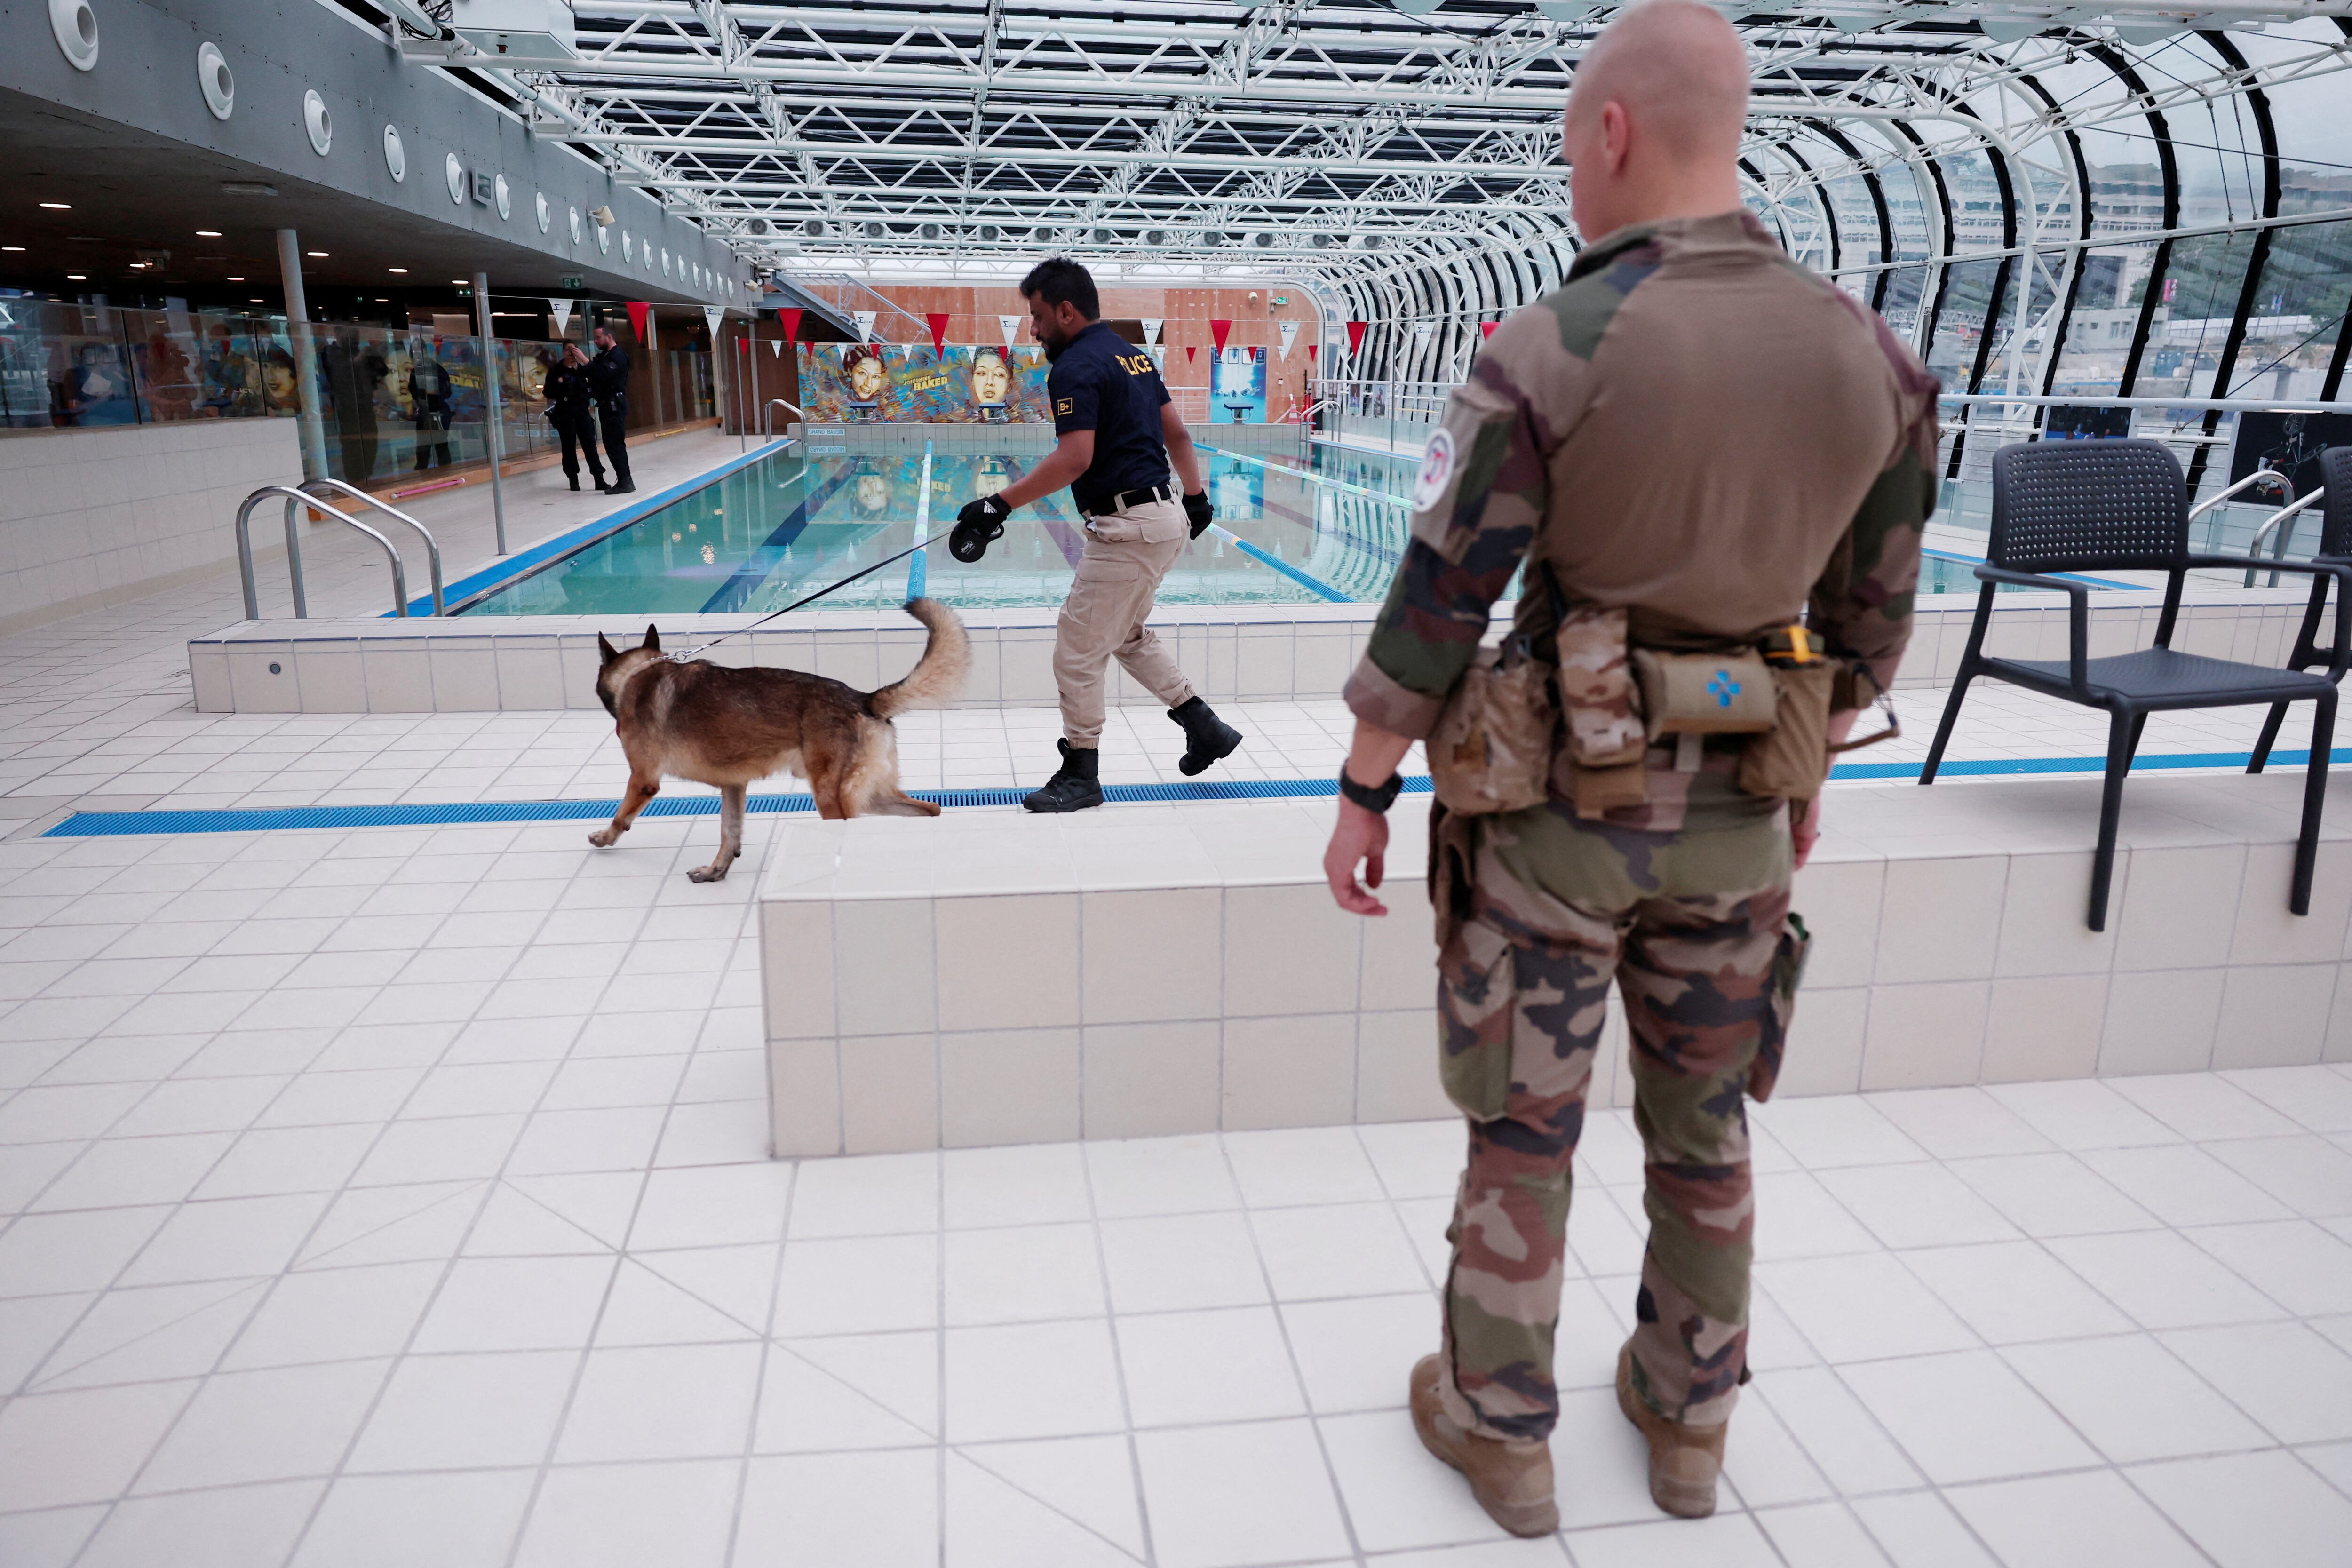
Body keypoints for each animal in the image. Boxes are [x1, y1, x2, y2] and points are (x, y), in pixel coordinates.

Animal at [593, 597, 969, 879]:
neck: (636, 673)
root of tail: (863, 698)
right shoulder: (734, 788)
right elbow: (729, 833)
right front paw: (717, 871)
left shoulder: (643, 780)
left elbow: (621, 814)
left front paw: (605, 836)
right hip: (870, 796)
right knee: (931, 809)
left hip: (833, 800)